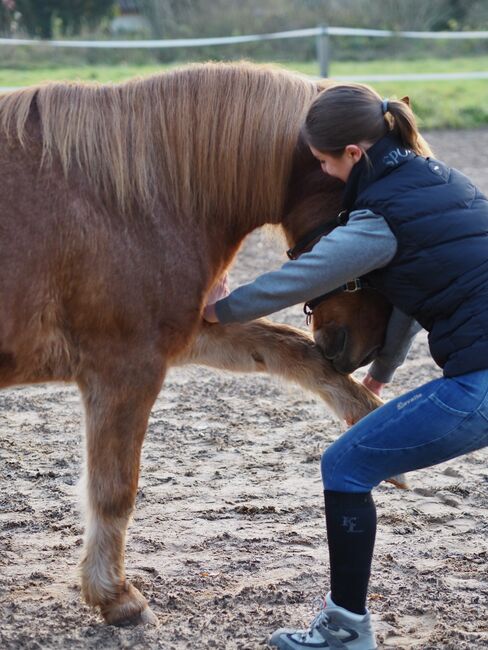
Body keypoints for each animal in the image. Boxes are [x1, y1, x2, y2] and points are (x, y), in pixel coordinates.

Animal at [0, 60, 388, 624]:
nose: (366, 347)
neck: (132, 199)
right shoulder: (127, 367)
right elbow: (114, 489)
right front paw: (114, 595)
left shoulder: (186, 335)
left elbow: (287, 348)